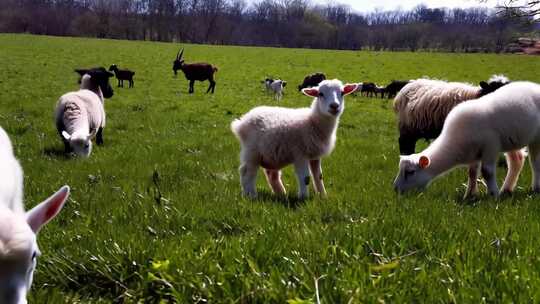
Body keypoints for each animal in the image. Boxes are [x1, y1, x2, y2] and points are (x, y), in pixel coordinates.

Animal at [392, 82, 540, 198]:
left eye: (410, 172)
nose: (396, 189)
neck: (455, 142)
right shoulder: (473, 153)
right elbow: (472, 173)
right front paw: (469, 195)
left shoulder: (491, 146)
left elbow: (487, 171)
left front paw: (493, 195)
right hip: (512, 139)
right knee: (517, 160)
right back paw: (507, 189)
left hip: (535, 138)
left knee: (534, 162)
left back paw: (535, 188)